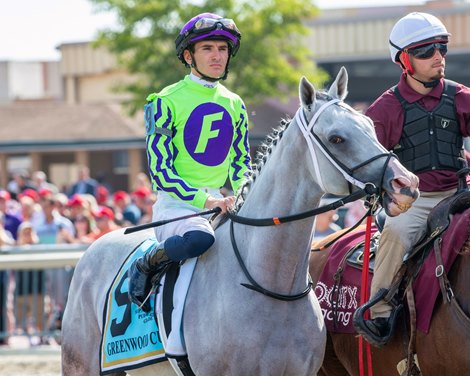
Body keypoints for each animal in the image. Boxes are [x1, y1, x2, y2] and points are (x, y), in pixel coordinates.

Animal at [61, 68, 418, 376]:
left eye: (370, 126)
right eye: (337, 139)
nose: (406, 183)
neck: (270, 285)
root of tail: (96, 246)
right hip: (80, 365)